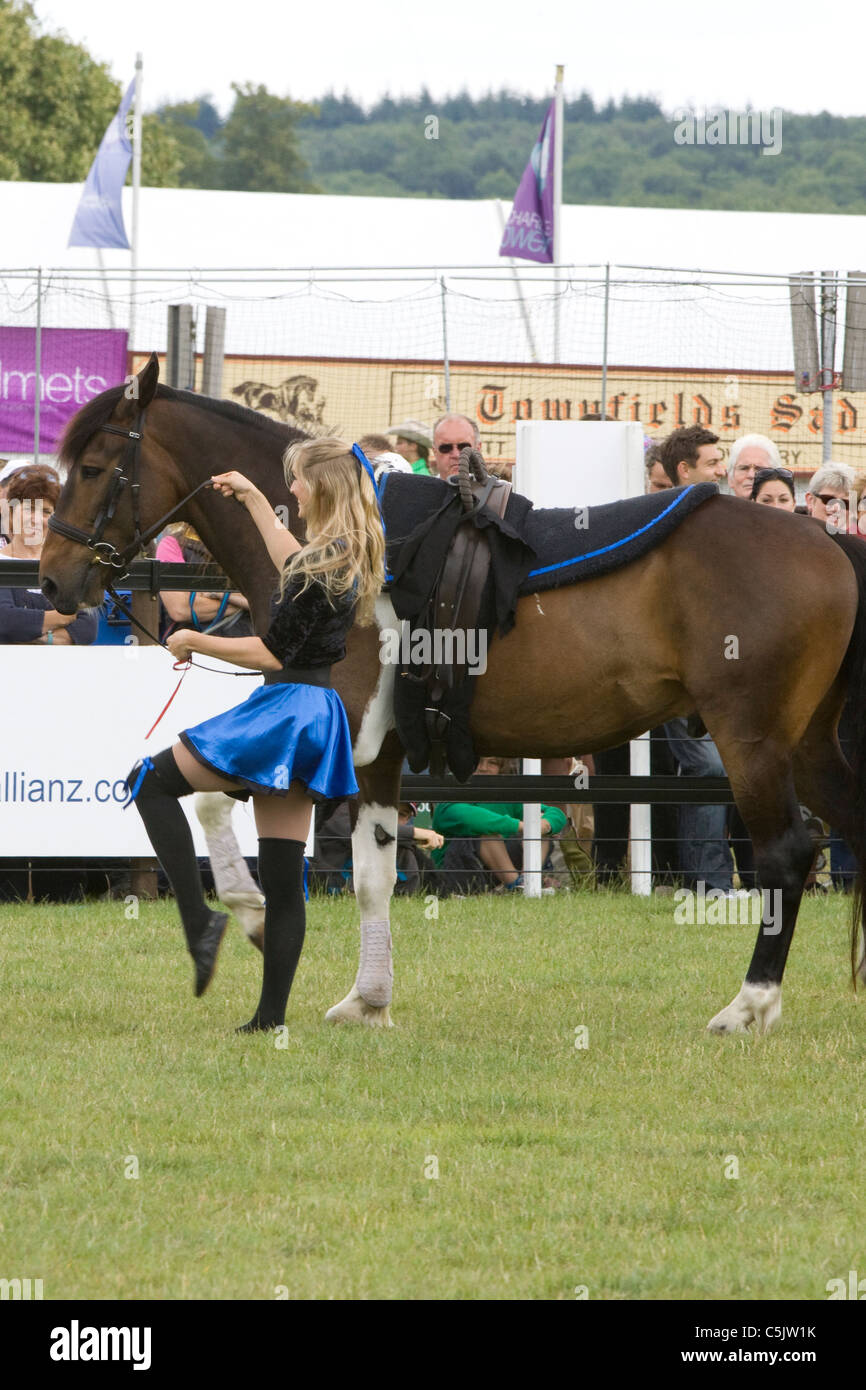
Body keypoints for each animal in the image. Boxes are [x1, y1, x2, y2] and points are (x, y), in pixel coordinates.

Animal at [40, 353, 866, 1035]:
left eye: (95, 465)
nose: (51, 580)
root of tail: (824, 540)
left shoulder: (336, 742)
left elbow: (222, 808)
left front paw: (248, 917)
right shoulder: (375, 757)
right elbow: (372, 872)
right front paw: (367, 999)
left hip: (753, 741)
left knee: (787, 852)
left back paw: (749, 1005)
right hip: (805, 746)